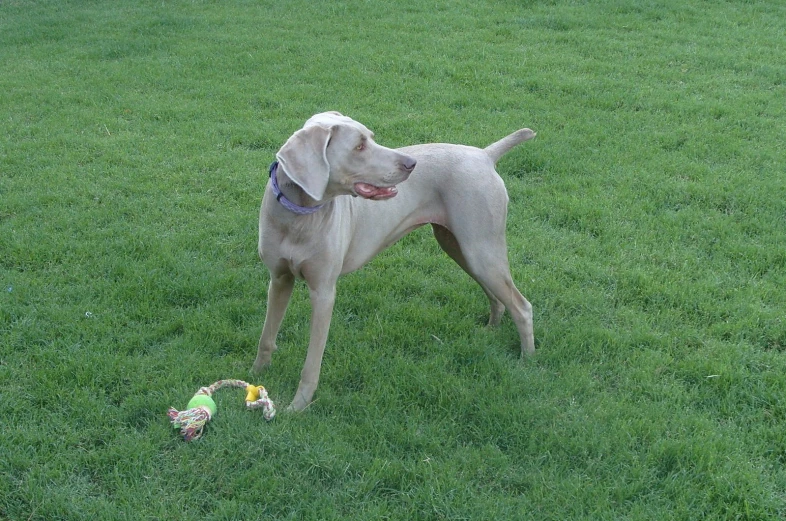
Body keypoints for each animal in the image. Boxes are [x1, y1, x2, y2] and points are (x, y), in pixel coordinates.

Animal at [254, 110, 536, 410]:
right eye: (359, 146)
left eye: (371, 137)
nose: (411, 163)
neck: (298, 215)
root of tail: (484, 155)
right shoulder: (279, 279)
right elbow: (267, 335)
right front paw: (256, 375)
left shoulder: (323, 291)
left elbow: (312, 361)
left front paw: (298, 406)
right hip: (460, 246)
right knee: (497, 296)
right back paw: (490, 331)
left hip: (480, 247)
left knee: (522, 306)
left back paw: (527, 360)